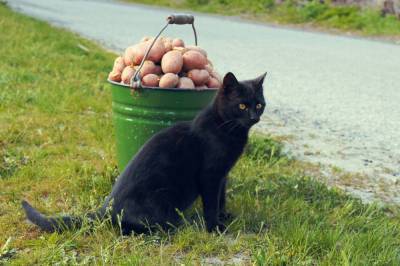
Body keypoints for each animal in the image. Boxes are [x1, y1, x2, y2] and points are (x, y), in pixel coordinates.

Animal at [21, 71, 266, 235]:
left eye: (259, 104)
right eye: (242, 106)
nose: (254, 117)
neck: (226, 128)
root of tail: (106, 208)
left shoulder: (223, 175)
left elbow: (221, 198)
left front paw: (225, 217)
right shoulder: (210, 175)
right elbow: (212, 203)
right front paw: (215, 227)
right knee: (124, 227)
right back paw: (167, 229)